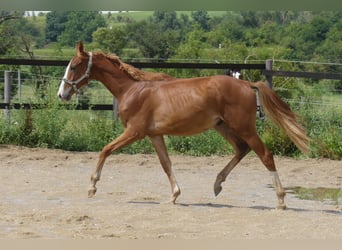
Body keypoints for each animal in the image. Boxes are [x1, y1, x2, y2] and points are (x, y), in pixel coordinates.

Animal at [57, 42, 308, 209]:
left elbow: (105, 150)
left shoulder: (135, 131)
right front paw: (174, 195)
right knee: (241, 149)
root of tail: (247, 84)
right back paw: (217, 184)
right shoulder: (154, 134)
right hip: (223, 126)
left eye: (75, 66)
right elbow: (166, 163)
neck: (133, 90)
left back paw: (281, 200)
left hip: (243, 127)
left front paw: (92, 187)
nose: (62, 94)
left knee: (265, 154)